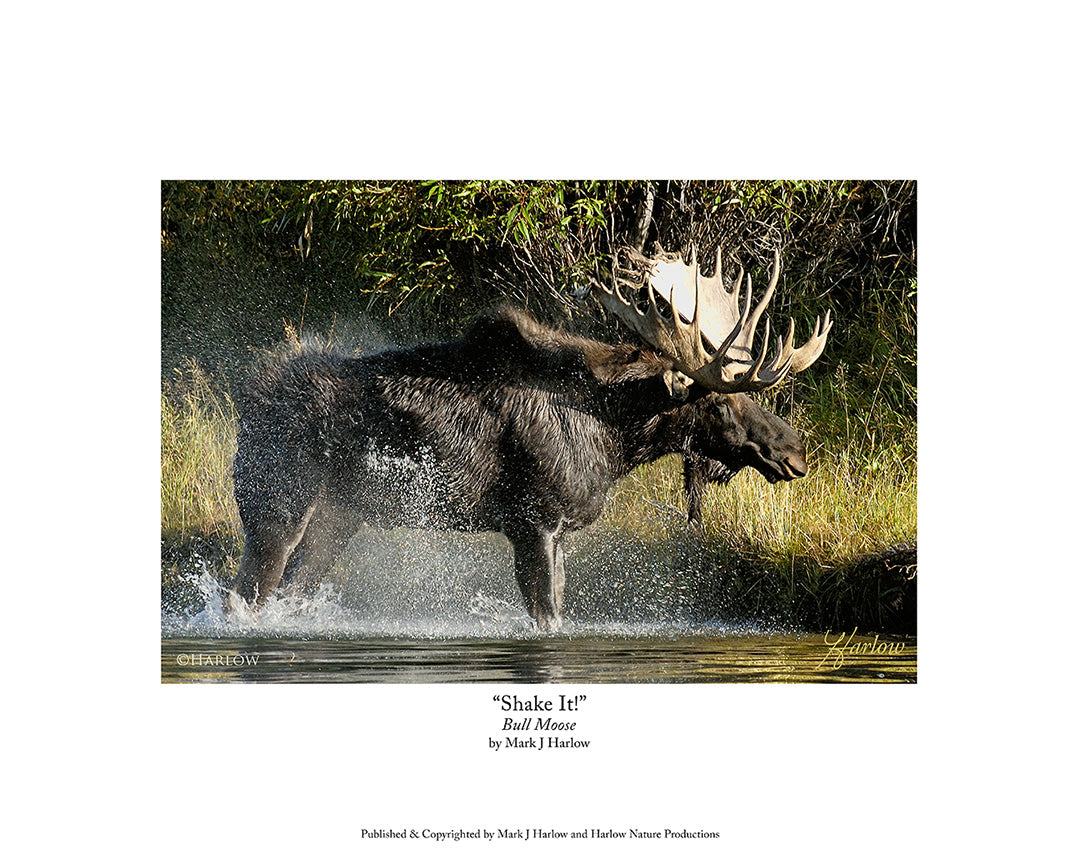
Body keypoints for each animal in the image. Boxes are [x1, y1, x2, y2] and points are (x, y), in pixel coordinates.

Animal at [230, 246, 832, 630]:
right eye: (721, 400)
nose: (794, 450)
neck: (614, 437)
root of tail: (247, 401)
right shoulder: (532, 521)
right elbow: (547, 615)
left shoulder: (559, 530)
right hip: (278, 505)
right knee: (248, 593)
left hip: (340, 518)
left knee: (289, 590)